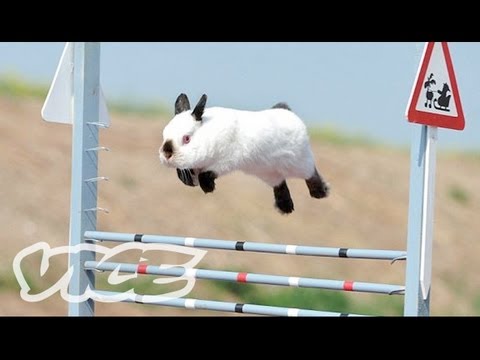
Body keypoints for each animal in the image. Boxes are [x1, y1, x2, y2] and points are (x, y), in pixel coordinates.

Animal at [158, 93, 330, 214]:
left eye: (186, 138)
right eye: (164, 135)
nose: (166, 155)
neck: (208, 132)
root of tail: (286, 111)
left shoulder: (225, 161)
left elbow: (206, 175)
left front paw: (208, 188)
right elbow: (186, 175)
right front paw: (190, 182)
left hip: (300, 162)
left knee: (311, 174)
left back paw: (320, 193)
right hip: (269, 173)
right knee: (280, 184)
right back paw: (285, 207)